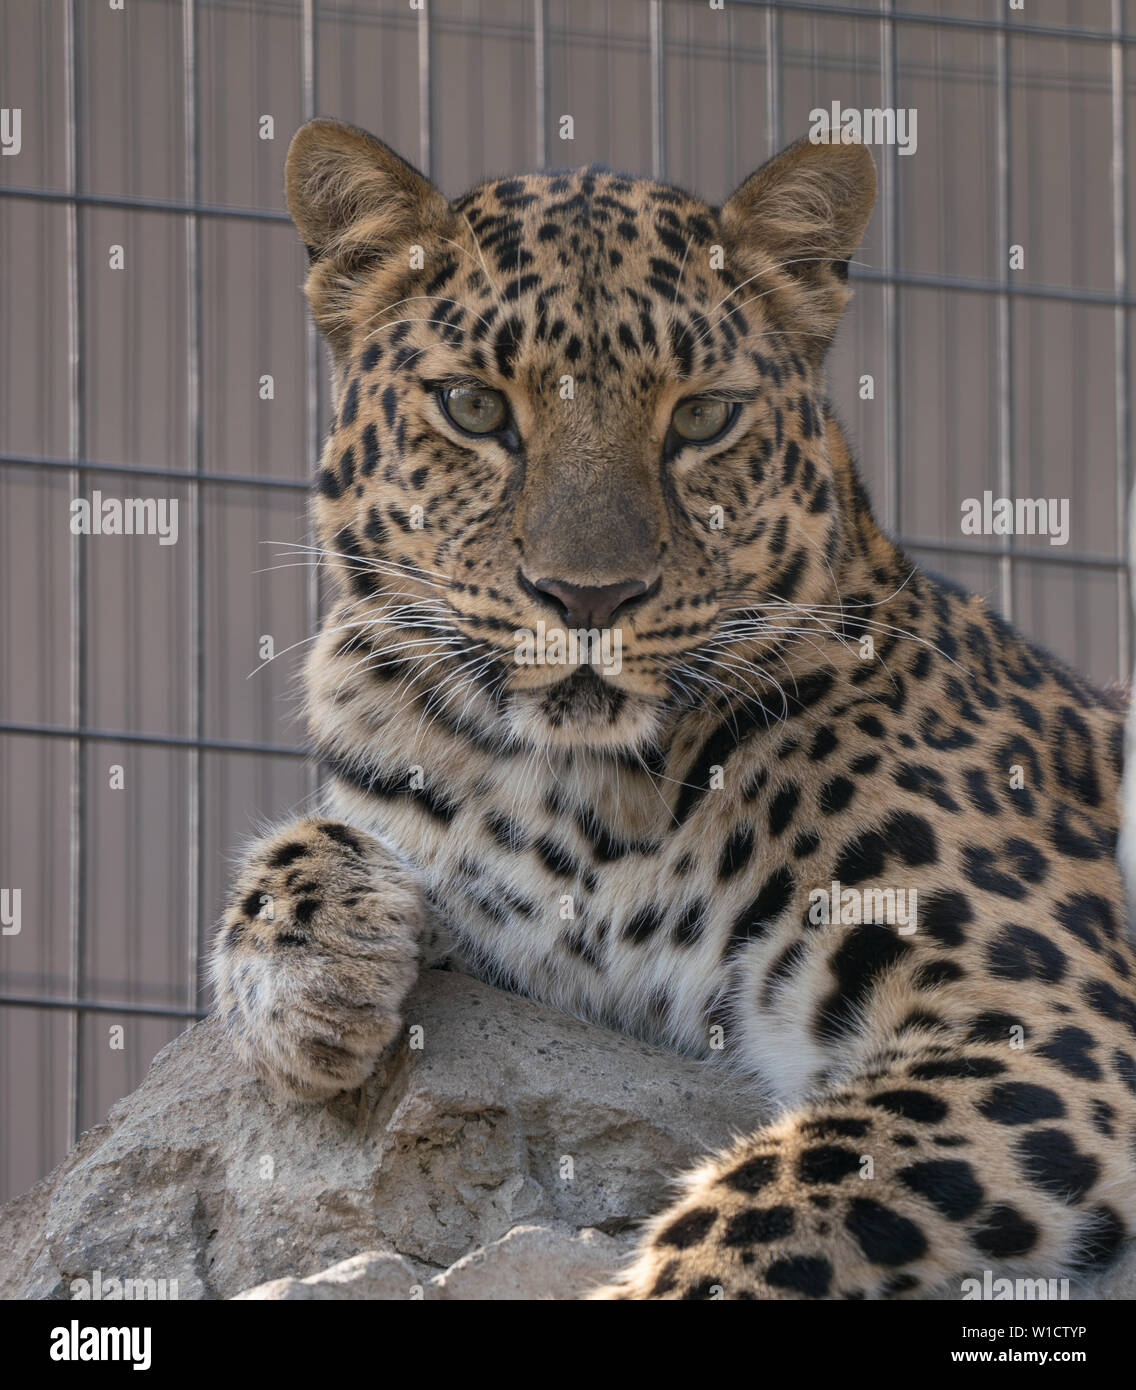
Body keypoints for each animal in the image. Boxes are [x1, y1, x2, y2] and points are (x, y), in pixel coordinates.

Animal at [210, 117, 1136, 1300]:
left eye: (701, 416)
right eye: (473, 406)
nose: (586, 598)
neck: (574, 788)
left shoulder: (1043, 1026)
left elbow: (774, 1193)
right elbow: (317, 841)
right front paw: (313, 986)